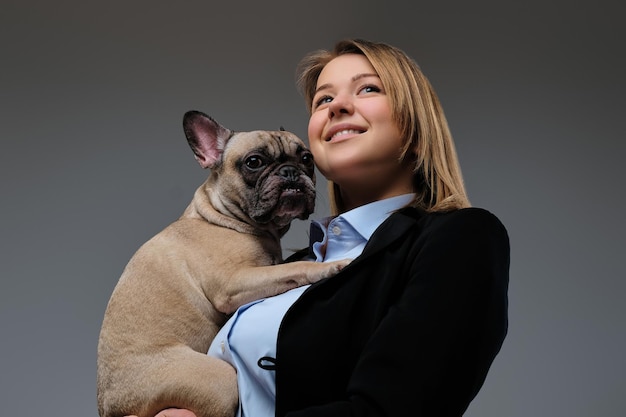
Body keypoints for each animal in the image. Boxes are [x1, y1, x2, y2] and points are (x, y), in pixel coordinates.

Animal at [98, 110, 352, 416]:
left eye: (306, 158)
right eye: (254, 162)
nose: (290, 171)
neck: (223, 218)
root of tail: (112, 406)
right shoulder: (234, 283)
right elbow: (292, 268)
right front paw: (329, 266)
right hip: (220, 382)